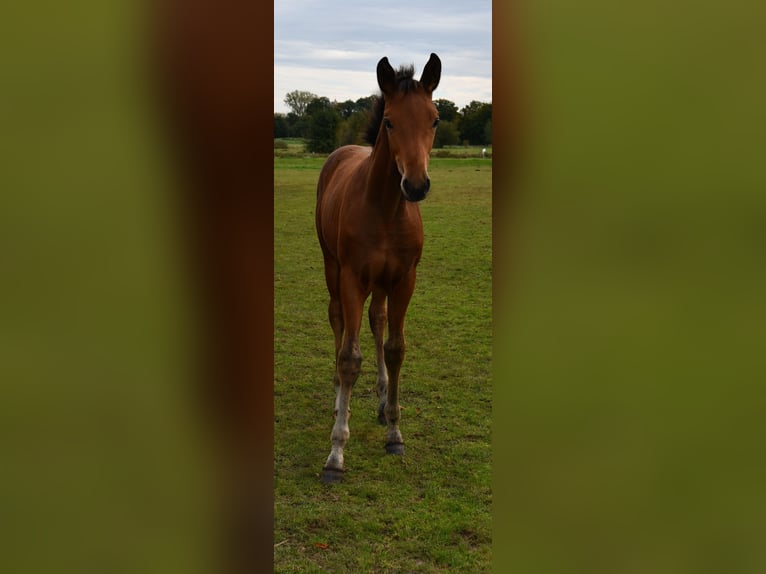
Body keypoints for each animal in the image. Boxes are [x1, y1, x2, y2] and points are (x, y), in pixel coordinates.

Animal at [316, 54, 440, 486]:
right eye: (389, 120)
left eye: (435, 119)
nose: (416, 185)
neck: (386, 210)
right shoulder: (352, 277)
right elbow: (350, 357)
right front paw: (336, 453)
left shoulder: (405, 279)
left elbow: (395, 347)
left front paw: (394, 432)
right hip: (332, 267)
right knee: (339, 321)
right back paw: (339, 397)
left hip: (383, 283)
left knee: (377, 320)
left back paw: (383, 398)